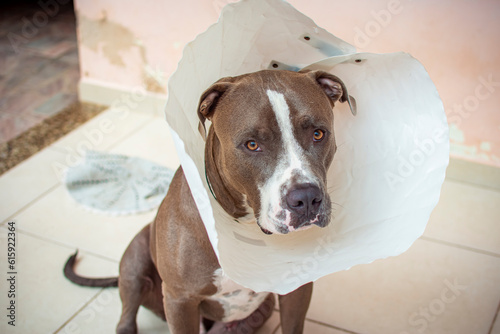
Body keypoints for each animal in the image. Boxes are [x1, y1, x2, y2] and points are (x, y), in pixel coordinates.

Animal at [64, 69, 356, 332]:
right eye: (252, 144)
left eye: (319, 134)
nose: (306, 197)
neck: (244, 221)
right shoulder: (180, 301)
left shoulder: (296, 290)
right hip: (135, 262)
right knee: (126, 318)